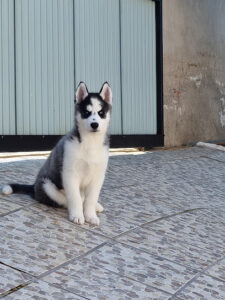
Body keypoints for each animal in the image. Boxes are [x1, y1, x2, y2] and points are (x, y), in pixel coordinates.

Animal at [2, 82, 112, 225]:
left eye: (101, 113)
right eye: (86, 113)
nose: (94, 124)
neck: (90, 143)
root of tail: (34, 187)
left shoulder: (97, 176)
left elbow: (91, 198)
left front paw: (91, 215)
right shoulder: (70, 174)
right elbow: (75, 198)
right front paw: (78, 215)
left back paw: (96, 206)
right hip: (47, 186)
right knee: (65, 200)